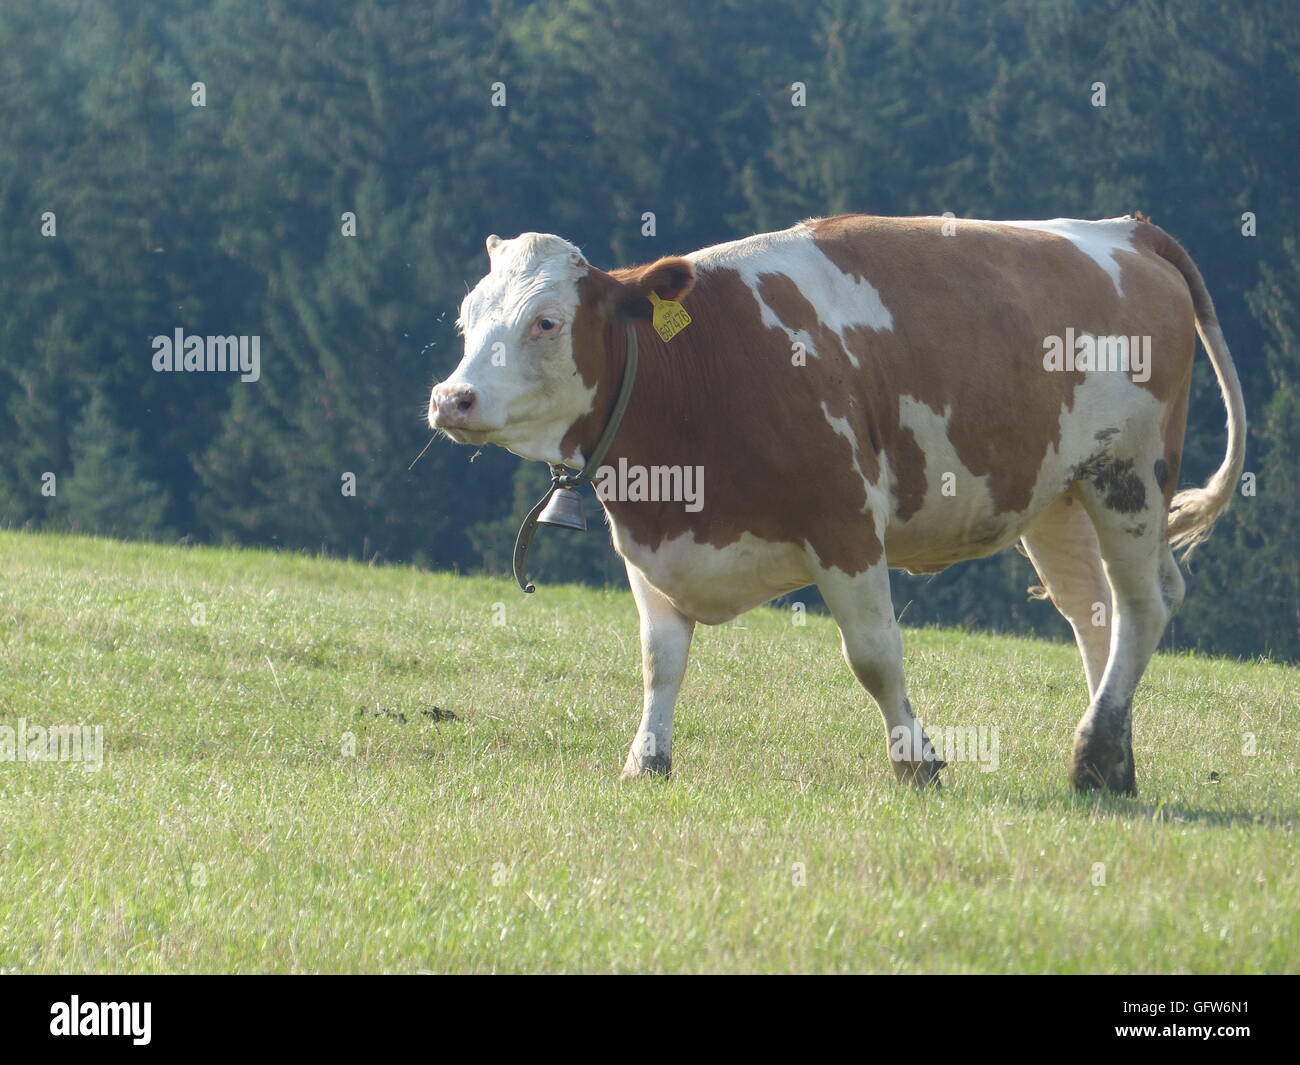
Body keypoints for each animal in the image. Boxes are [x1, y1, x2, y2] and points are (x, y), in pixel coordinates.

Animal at [431, 214, 1242, 790]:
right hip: (1060, 497)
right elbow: (660, 659)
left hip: (1128, 473)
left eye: (545, 321)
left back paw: (1093, 752)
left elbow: (874, 656)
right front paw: (646, 761)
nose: (451, 397)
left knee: (1144, 606)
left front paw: (917, 762)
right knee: (1096, 614)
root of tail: (1125, 229)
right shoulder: (647, 543)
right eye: (467, 318)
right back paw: (1113, 759)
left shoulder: (844, 523)